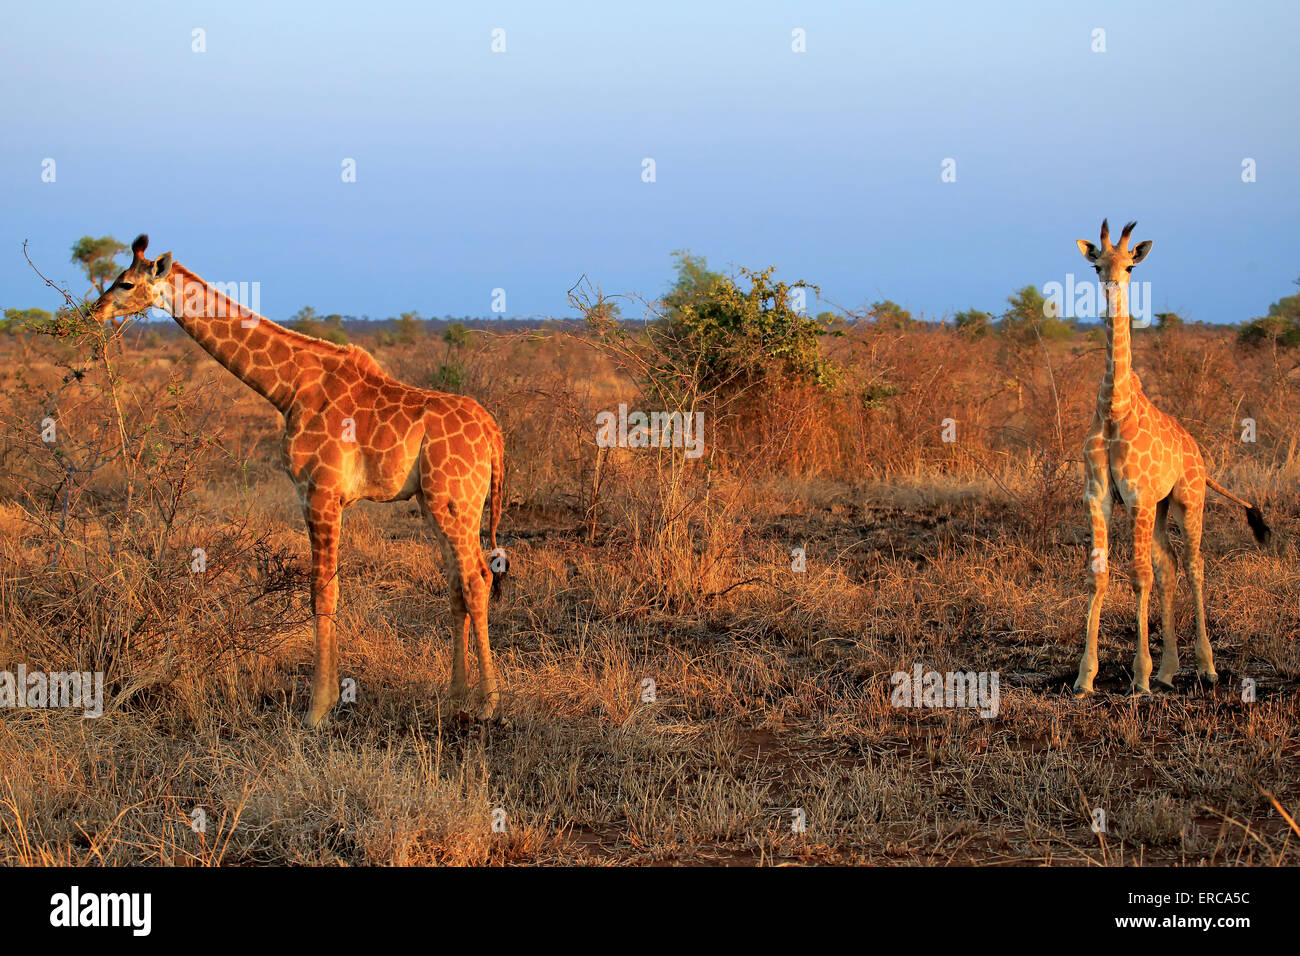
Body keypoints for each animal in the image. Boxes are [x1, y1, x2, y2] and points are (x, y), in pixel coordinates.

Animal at [89, 238, 506, 723]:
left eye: (126, 282)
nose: (95, 309)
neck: (288, 388)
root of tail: (493, 434)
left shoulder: (319, 491)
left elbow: (321, 591)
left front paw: (317, 709)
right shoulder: (322, 495)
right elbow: (326, 590)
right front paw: (327, 701)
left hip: (454, 500)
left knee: (477, 578)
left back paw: (488, 704)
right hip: (435, 501)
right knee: (457, 582)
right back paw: (456, 695)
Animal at [1076, 218, 1268, 697]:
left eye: (1129, 266)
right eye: (1097, 266)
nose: (1112, 286)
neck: (1114, 408)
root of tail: (1197, 450)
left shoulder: (1139, 497)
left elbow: (1137, 575)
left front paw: (1139, 678)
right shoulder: (1099, 496)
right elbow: (1099, 574)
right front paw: (1086, 676)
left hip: (1187, 500)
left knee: (1195, 565)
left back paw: (1206, 667)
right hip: (1163, 508)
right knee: (1171, 565)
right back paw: (1168, 671)